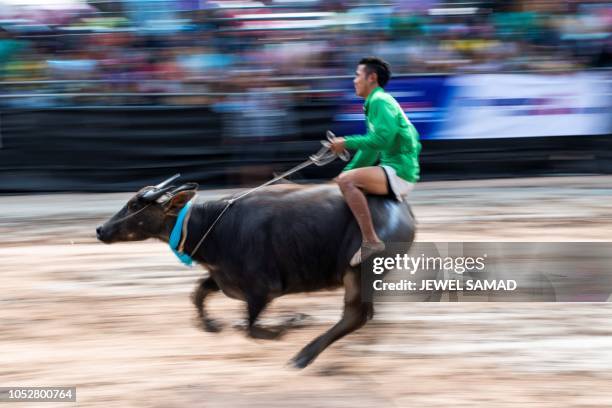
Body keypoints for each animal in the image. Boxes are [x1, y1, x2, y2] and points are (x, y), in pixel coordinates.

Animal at [97, 177, 416, 368]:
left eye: (135, 204)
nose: (101, 229)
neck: (214, 225)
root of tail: (402, 209)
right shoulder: (223, 278)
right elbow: (198, 295)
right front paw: (211, 325)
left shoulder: (262, 291)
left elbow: (251, 329)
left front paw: (289, 323)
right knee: (364, 315)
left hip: (356, 272)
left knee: (353, 316)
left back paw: (303, 356)